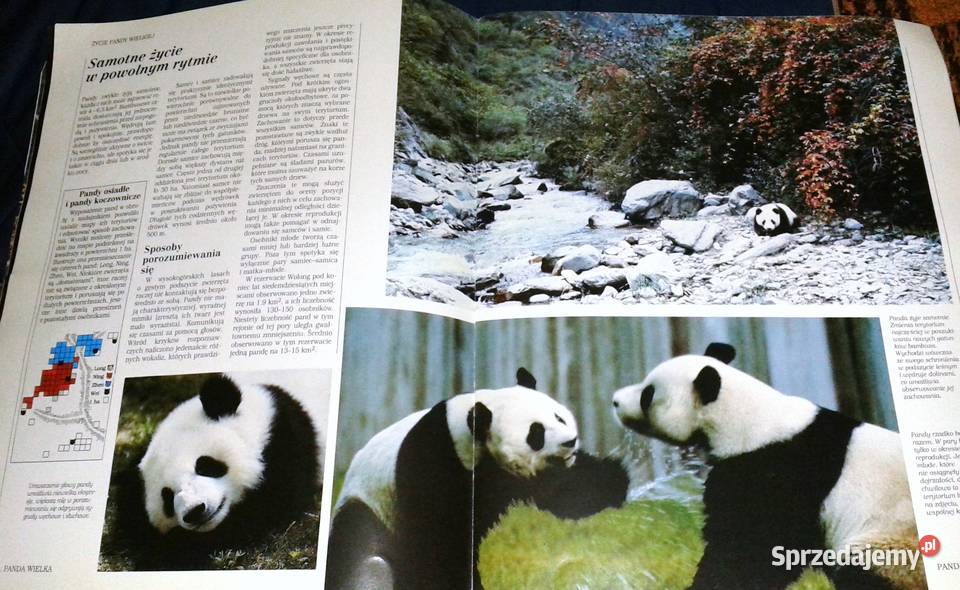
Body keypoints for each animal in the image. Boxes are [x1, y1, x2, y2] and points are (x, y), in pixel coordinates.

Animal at [326, 368, 629, 590]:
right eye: (536, 433)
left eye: (559, 417)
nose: (570, 442)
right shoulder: (432, 459)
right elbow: (438, 540)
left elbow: (567, 494)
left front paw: (614, 482)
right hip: (371, 510)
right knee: (368, 562)